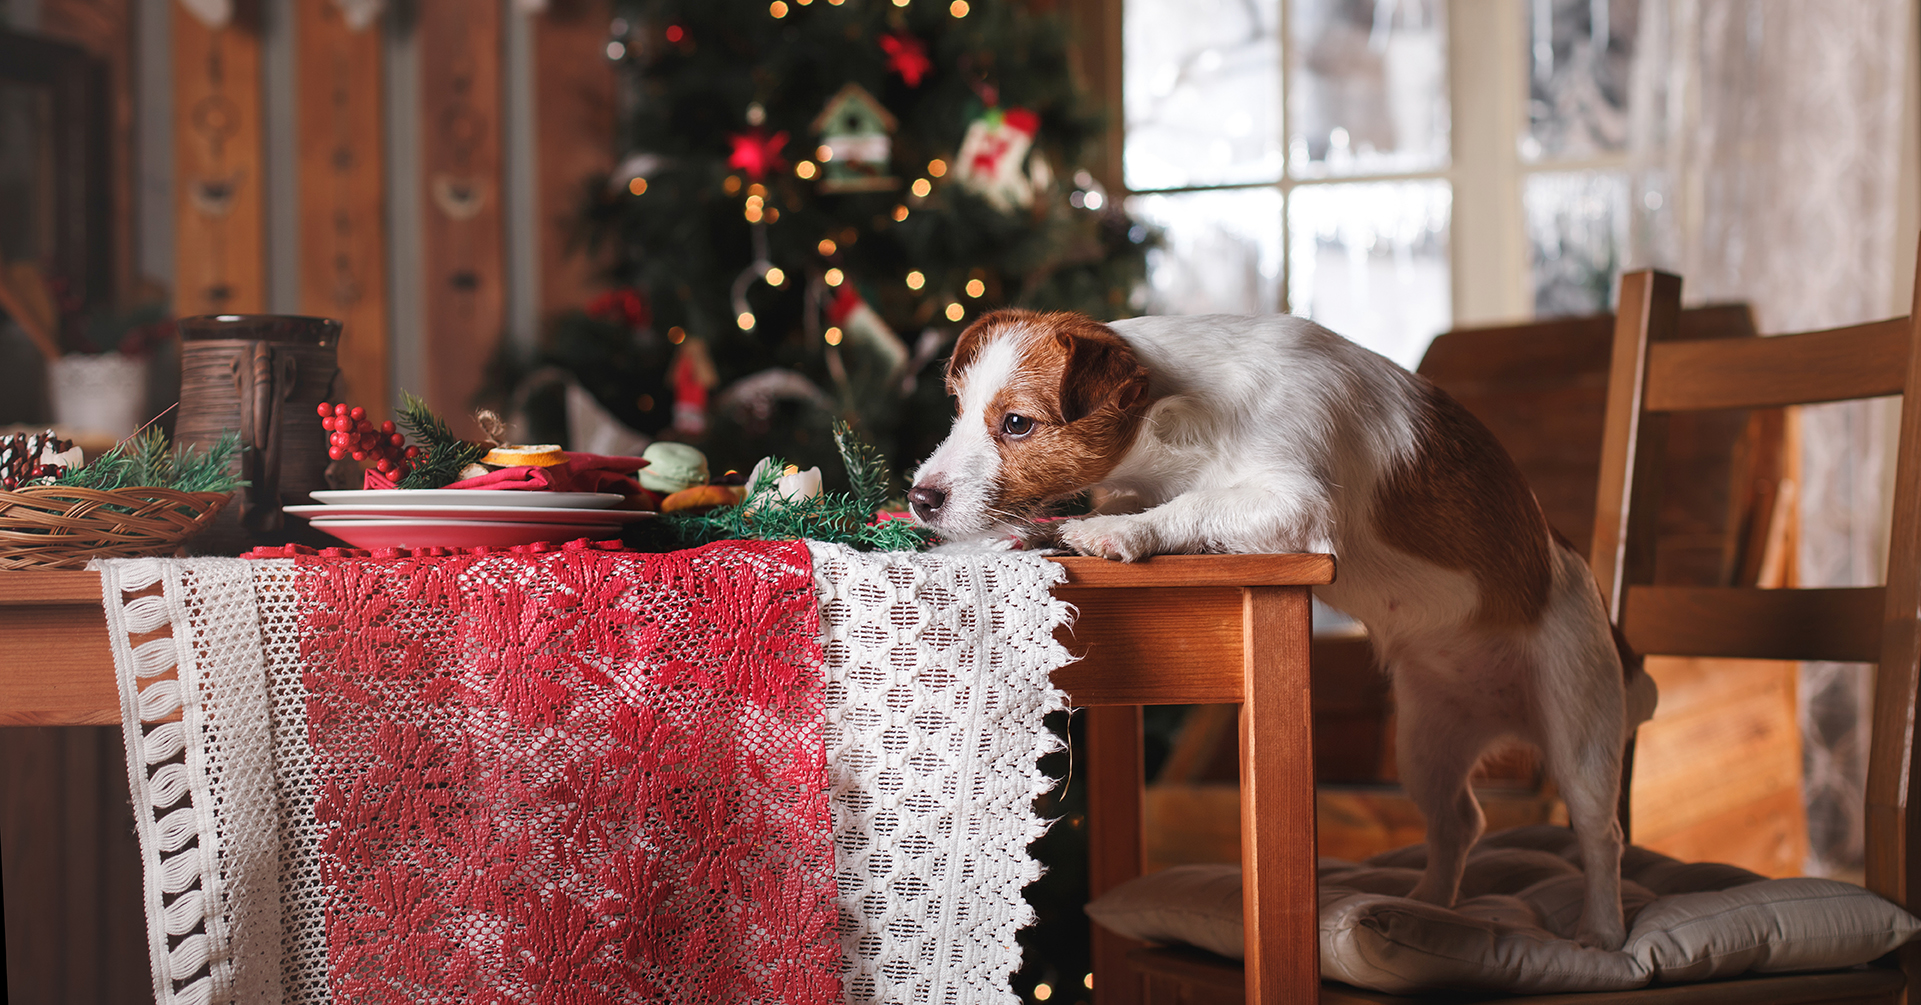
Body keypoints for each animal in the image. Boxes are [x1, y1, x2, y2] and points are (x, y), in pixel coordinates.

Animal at [906, 309, 1659, 953]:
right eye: (959, 412)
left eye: (1016, 423)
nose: (919, 497)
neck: (1182, 415)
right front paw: (1062, 526)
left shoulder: (1296, 504)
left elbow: (1195, 504)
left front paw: (1116, 532)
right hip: (1425, 742)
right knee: (1459, 822)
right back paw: (1429, 904)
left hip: (1579, 726)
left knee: (1602, 834)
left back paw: (1601, 930)